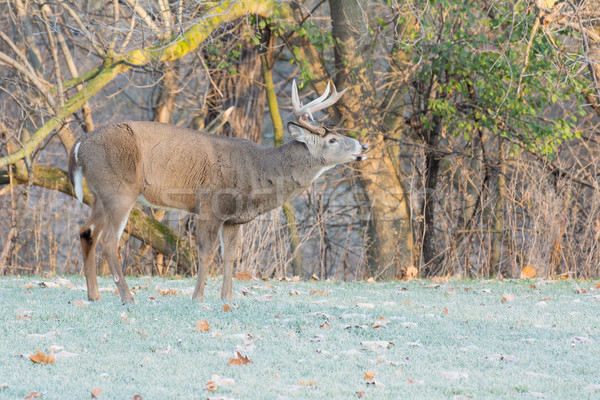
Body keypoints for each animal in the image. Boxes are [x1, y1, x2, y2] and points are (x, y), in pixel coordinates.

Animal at [65, 80, 366, 304]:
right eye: (332, 139)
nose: (363, 146)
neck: (258, 170)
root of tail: (80, 143)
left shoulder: (234, 218)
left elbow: (231, 255)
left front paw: (227, 299)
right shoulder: (210, 207)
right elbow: (206, 253)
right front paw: (198, 298)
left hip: (100, 194)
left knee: (86, 232)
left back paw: (94, 296)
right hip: (120, 190)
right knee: (108, 241)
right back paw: (127, 297)